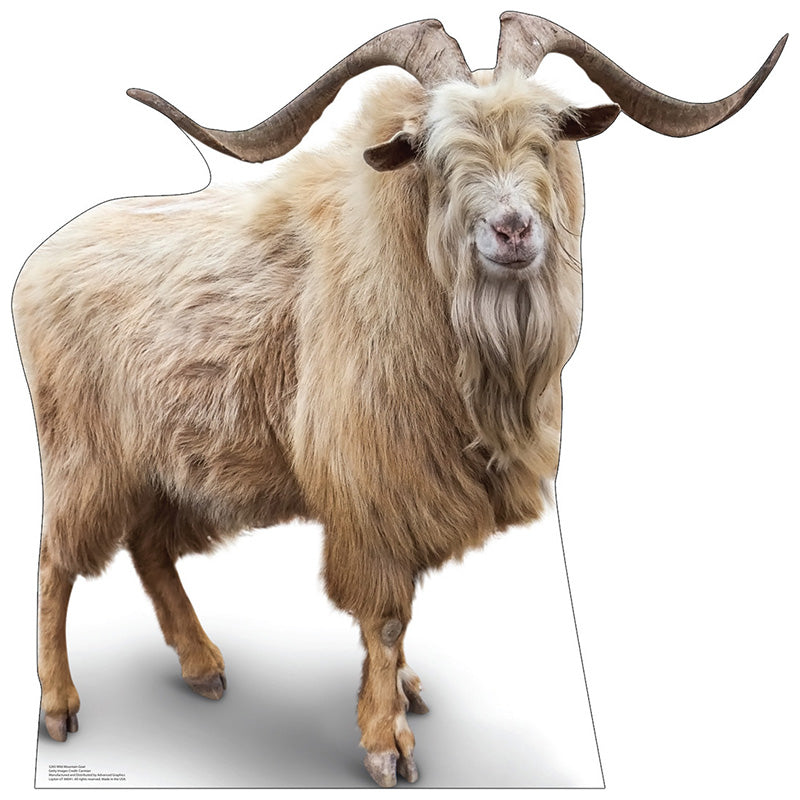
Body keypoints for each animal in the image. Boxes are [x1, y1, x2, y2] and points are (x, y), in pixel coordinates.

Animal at [12, 12, 786, 788]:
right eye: (434, 155)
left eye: (549, 136)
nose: (512, 229)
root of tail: (38, 265)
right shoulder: (374, 488)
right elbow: (384, 617)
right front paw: (387, 744)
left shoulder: (408, 490)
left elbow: (397, 620)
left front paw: (403, 694)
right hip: (83, 454)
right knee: (55, 562)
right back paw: (59, 707)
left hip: (162, 465)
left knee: (147, 548)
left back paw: (202, 667)